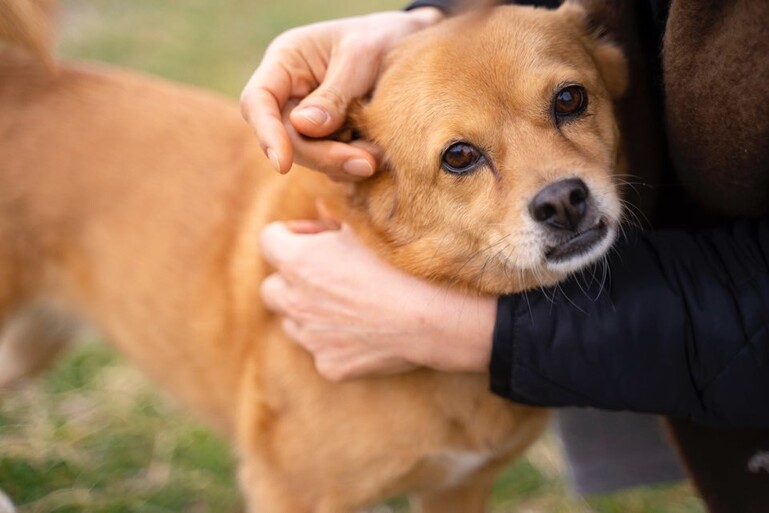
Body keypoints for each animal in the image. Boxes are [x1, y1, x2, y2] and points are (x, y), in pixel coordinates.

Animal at [0, 2, 624, 510]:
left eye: (570, 99)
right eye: (459, 156)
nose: (563, 201)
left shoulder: (458, 489)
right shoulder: (290, 493)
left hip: (29, 347)